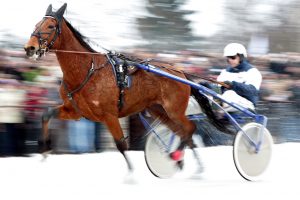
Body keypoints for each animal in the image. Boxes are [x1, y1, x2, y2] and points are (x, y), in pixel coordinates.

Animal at [24, 2, 220, 170]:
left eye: (50, 26)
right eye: (36, 24)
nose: (29, 48)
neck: (88, 70)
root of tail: (180, 71)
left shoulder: (109, 115)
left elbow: (120, 143)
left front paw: (131, 175)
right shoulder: (75, 111)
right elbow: (46, 114)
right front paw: (44, 150)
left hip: (174, 110)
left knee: (189, 129)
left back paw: (180, 157)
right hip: (159, 110)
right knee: (182, 132)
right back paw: (188, 164)